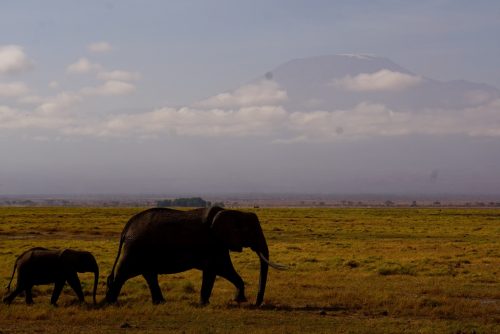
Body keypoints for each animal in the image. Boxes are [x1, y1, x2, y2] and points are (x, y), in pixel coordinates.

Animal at [105, 207, 286, 306]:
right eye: (251, 231)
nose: (257, 303)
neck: (231, 212)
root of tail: (126, 227)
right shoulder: (211, 242)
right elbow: (215, 270)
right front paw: (206, 304)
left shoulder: (218, 244)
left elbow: (226, 270)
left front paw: (238, 300)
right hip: (134, 248)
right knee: (122, 274)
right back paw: (110, 302)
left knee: (149, 274)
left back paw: (160, 303)